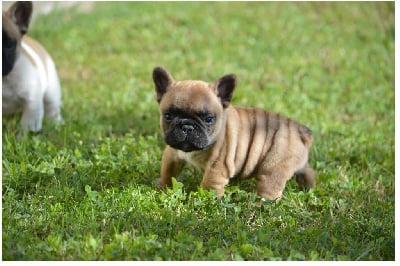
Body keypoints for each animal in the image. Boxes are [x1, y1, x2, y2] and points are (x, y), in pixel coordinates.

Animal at [2, 1, 63, 132]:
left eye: (8, 45)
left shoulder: (32, 100)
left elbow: (27, 124)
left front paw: (24, 136)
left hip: (51, 89)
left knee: (52, 106)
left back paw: (56, 122)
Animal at [153, 66, 316, 200]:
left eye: (209, 119)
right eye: (168, 115)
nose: (187, 126)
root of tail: (299, 130)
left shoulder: (217, 167)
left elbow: (209, 187)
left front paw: (205, 201)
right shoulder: (172, 155)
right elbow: (168, 172)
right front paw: (162, 187)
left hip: (274, 168)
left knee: (270, 188)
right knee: (308, 172)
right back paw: (308, 188)